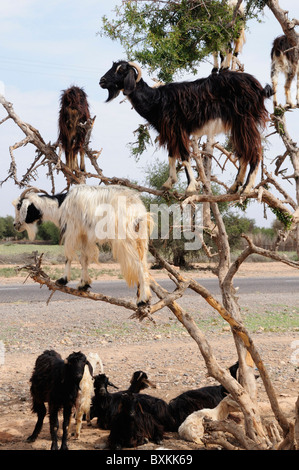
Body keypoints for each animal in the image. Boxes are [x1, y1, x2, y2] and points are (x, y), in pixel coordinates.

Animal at [12, 185, 152, 306]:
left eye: (19, 206)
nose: (15, 225)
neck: (60, 206)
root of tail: (137, 209)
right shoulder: (84, 235)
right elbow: (83, 259)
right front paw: (83, 284)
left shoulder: (72, 230)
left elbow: (68, 256)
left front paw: (63, 280)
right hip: (140, 238)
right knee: (143, 263)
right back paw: (143, 298)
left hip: (125, 237)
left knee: (138, 264)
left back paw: (142, 300)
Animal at [101, 61, 274, 196]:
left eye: (121, 70)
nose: (101, 81)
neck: (157, 100)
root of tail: (259, 88)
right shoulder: (170, 133)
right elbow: (171, 156)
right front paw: (168, 183)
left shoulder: (178, 130)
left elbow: (184, 156)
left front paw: (191, 187)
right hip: (238, 125)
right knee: (244, 153)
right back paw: (234, 187)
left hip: (245, 121)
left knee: (255, 151)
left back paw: (246, 188)